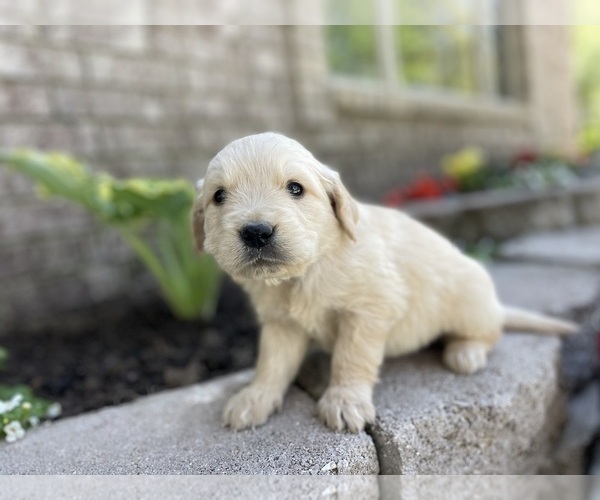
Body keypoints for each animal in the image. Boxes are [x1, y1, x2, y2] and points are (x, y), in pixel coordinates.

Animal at [192, 133, 576, 434]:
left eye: (296, 189)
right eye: (219, 196)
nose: (256, 232)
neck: (305, 272)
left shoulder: (370, 308)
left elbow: (351, 356)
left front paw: (345, 399)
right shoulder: (280, 323)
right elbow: (272, 362)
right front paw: (256, 396)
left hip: (470, 302)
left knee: (491, 331)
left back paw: (465, 351)